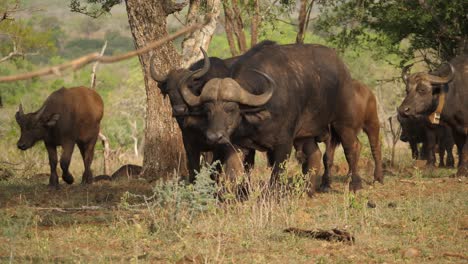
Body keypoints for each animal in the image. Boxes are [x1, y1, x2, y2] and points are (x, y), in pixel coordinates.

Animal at [177, 40, 378, 192]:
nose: (214, 137)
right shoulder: (238, 144)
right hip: (306, 133)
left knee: (352, 147)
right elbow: (235, 170)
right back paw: (308, 189)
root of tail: (343, 69)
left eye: (231, 109)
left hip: (343, 122)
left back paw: (355, 185)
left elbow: (276, 174)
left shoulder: (283, 144)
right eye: (208, 110)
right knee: (314, 154)